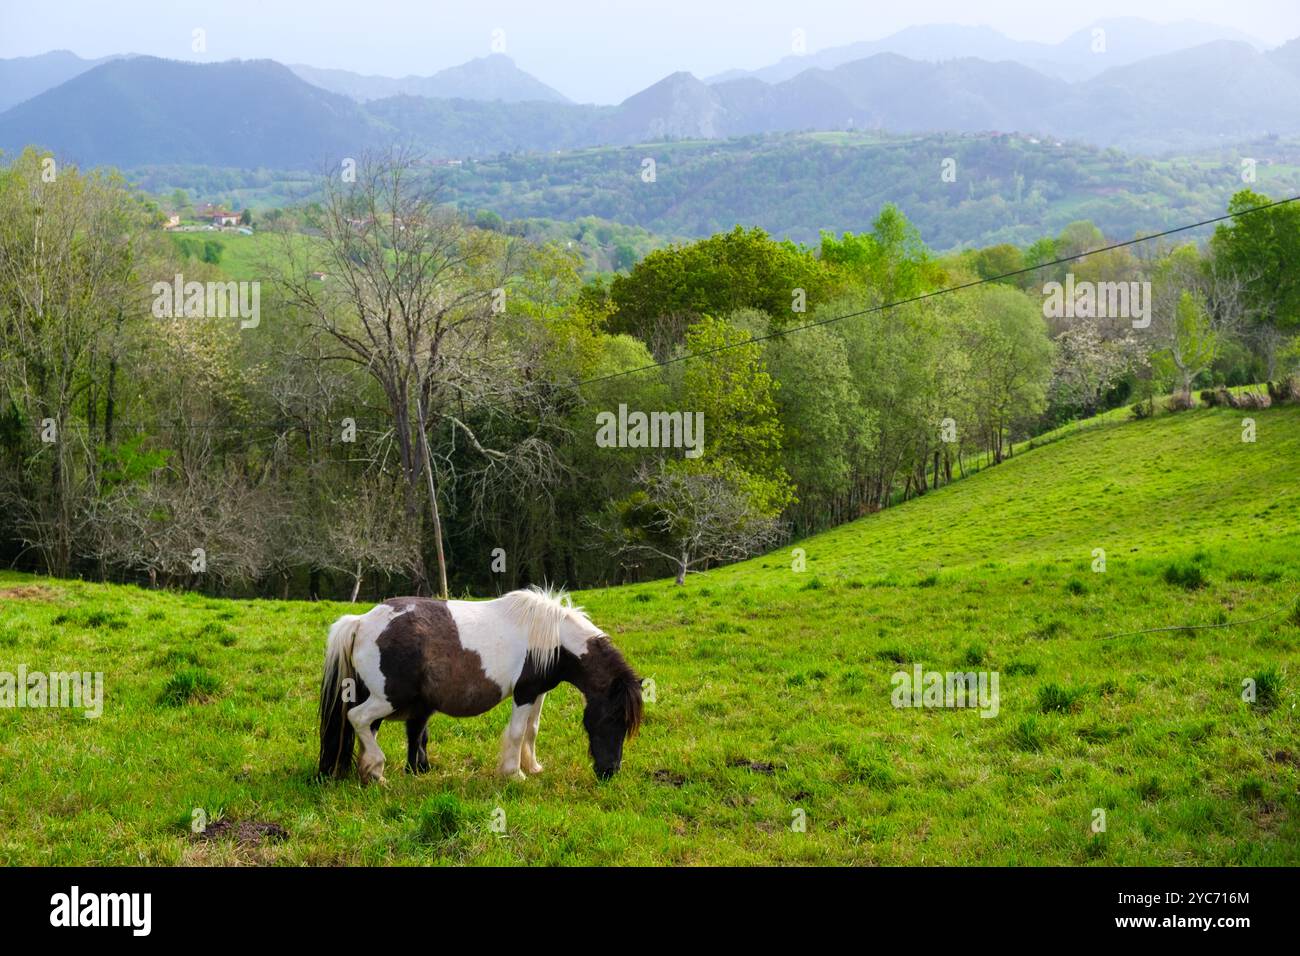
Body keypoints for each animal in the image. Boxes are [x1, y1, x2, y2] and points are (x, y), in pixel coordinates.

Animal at [317, 586, 642, 783]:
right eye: (613, 719)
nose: (610, 771)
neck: (553, 637)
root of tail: (361, 622)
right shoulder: (524, 693)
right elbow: (517, 732)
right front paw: (514, 774)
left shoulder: (538, 693)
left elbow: (532, 730)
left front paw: (533, 767)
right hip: (387, 698)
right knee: (357, 718)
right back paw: (377, 771)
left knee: (367, 728)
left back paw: (371, 772)